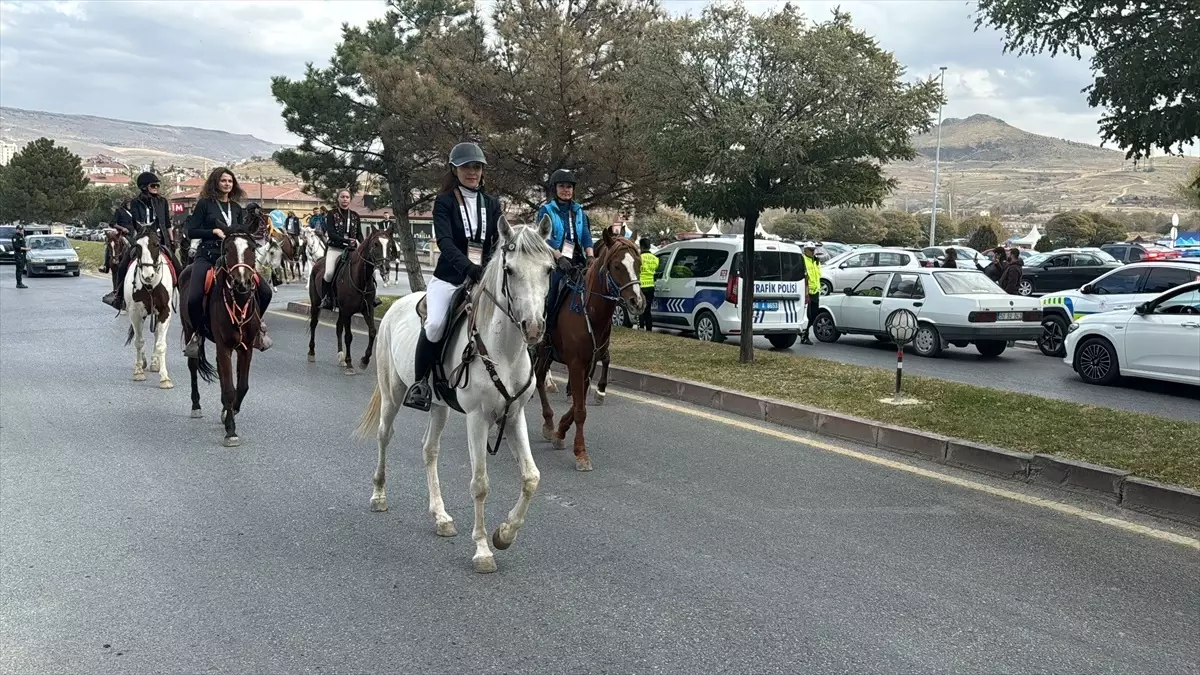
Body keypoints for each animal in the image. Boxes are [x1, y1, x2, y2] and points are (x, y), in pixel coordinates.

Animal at [122, 228, 175, 386]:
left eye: (156, 244)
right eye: (137, 246)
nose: (148, 275)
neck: (151, 285)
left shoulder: (165, 311)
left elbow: (160, 343)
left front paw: (164, 378)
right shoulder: (135, 313)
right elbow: (139, 341)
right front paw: (138, 371)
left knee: (157, 333)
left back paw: (154, 362)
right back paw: (143, 362)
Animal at [177, 230, 262, 446]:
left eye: (251, 248)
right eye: (228, 249)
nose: (242, 282)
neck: (238, 303)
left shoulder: (246, 348)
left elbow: (241, 385)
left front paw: (229, 412)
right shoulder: (224, 347)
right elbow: (230, 388)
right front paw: (231, 431)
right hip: (189, 329)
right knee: (193, 365)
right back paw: (196, 405)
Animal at [304, 228, 393, 369]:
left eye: (390, 245)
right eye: (375, 244)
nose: (386, 268)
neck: (361, 279)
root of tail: (318, 262)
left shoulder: (367, 310)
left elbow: (373, 332)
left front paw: (364, 360)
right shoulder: (347, 311)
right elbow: (349, 336)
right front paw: (350, 362)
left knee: (338, 327)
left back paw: (340, 356)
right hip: (315, 303)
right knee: (314, 324)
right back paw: (312, 352)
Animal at [352, 214, 554, 571]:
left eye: (548, 270)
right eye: (509, 270)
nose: (533, 327)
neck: (504, 352)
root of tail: (397, 305)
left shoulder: (513, 416)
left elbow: (531, 477)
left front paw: (505, 533)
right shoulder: (477, 418)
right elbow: (480, 483)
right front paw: (483, 549)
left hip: (439, 407)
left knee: (429, 449)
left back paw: (441, 516)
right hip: (392, 394)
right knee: (384, 435)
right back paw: (378, 495)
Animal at [537, 228, 648, 470]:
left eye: (638, 263)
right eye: (616, 265)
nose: (637, 302)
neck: (588, 310)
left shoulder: (589, 363)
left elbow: (579, 404)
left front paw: (560, 432)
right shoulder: (575, 363)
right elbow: (580, 410)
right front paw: (581, 453)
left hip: (546, 352)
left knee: (539, 379)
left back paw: (548, 423)